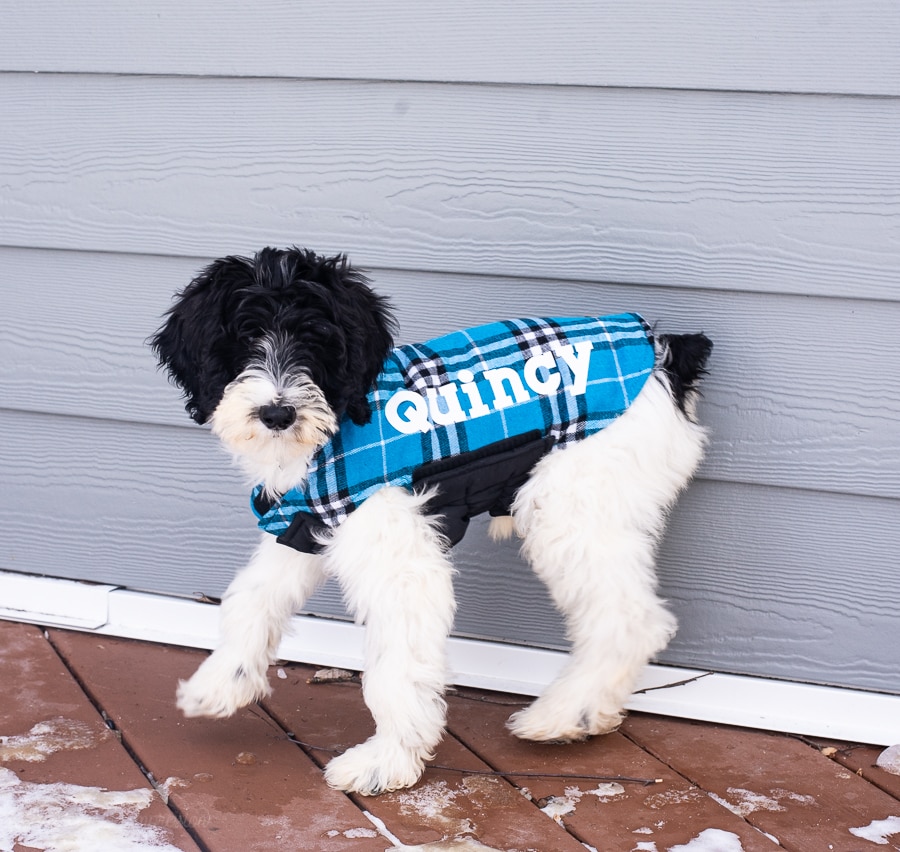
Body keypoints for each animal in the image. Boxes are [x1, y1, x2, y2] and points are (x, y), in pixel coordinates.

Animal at [151, 248, 712, 800]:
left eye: (316, 341)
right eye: (243, 339)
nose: (277, 413)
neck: (338, 428)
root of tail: (661, 348)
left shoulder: (397, 556)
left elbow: (394, 663)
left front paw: (387, 760)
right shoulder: (306, 522)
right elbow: (252, 596)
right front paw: (221, 683)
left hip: (571, 503)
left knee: (630, 618)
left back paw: (564, 714)